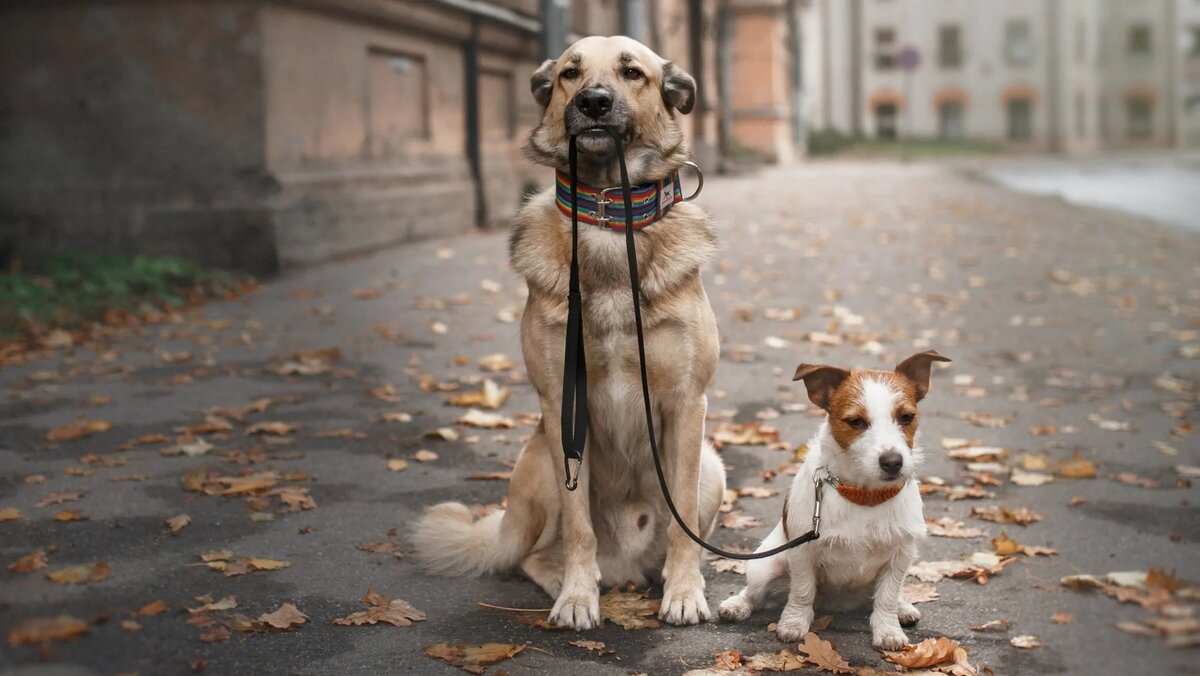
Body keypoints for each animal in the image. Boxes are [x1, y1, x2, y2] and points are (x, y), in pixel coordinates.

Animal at [415, 35, 720, 629]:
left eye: (632, 72)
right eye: (569, 74)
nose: (594, 102)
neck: (607, 215)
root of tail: (626, 565)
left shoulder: (686, 406)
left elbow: (684, 523)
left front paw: (685, 591)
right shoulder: (562, 403)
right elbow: (579, 528)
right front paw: (578, 596)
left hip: (711, 465)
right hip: (539, 461)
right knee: (533, 554)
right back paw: (569, 580)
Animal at [715, 348, 950, 648]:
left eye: (906, 417)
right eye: (856, 422)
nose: (893, 462)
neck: (864, 495)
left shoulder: (900, 555)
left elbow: (886, 598)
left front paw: (888, 630)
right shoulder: (803, 553)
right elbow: (802, 591)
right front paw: (793, 623)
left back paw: (902, 607)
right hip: (764, 566)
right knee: (754, 593)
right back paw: (737, 605)